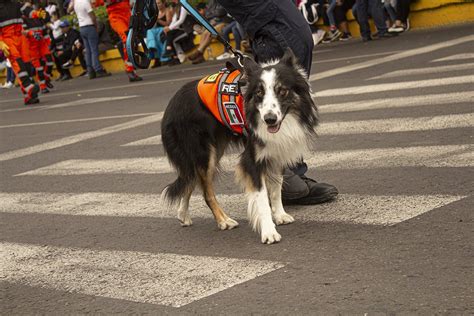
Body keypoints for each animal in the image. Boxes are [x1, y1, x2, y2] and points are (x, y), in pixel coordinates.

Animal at [162, 48, 318, 244]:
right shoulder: (252, 159)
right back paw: (223, 221)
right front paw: (269, 232)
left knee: (190, 180)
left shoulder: (276, 151)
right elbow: (261, 197)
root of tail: (170, 106)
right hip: (204, 154)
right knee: (205, 191)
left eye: (282, 91)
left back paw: (183, 214)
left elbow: (276, 189)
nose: (269, 119)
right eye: (259, 93)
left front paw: (280, 215)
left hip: (211, 151)